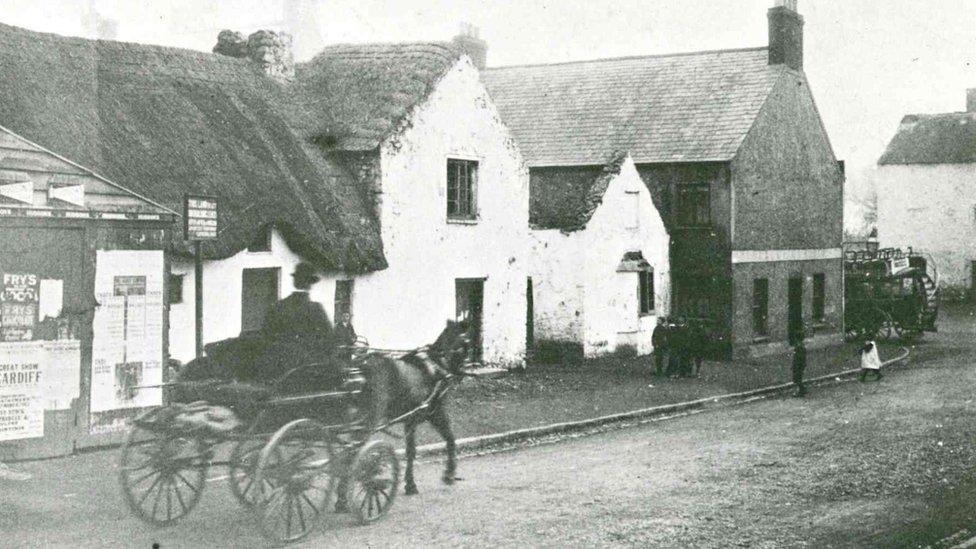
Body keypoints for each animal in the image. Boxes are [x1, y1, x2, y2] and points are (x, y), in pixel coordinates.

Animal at [362, 318, 472, 494]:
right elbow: (449, 439)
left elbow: (412, 450)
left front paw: (410, 482)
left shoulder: (411, 421)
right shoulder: (435, 414)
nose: (461, 374)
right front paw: (447, 474)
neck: (437, 365)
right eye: (466, 343)